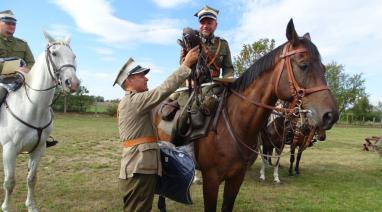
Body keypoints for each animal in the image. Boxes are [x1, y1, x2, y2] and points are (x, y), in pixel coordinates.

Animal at [0, 31, 79, 212]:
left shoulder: (38, 150)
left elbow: (31, 179)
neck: (32, 107)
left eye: (73, 56)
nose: (73, 83)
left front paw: (31, 206)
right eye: (55, 53)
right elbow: (9, 182)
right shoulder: (9, 150)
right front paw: (6, 207)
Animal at [154, 19, 338, 211]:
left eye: (323, 68)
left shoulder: (237, 178)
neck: (236, 123)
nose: (330, 115)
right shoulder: (211, 179)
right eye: (303, 65)